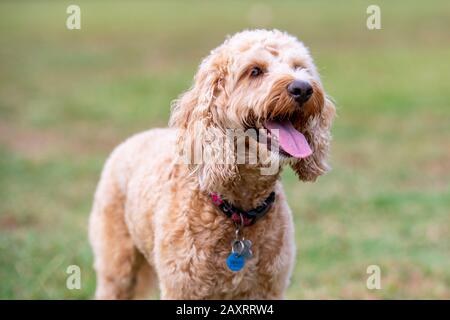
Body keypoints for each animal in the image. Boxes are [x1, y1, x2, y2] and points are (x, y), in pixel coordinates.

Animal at [89, 28, 334, 298]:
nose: (303, 88)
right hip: (116, 265)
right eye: (255, 71)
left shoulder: (268, 288)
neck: (239, 211)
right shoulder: (182, 287)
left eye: (300, 67)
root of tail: (134, 138)